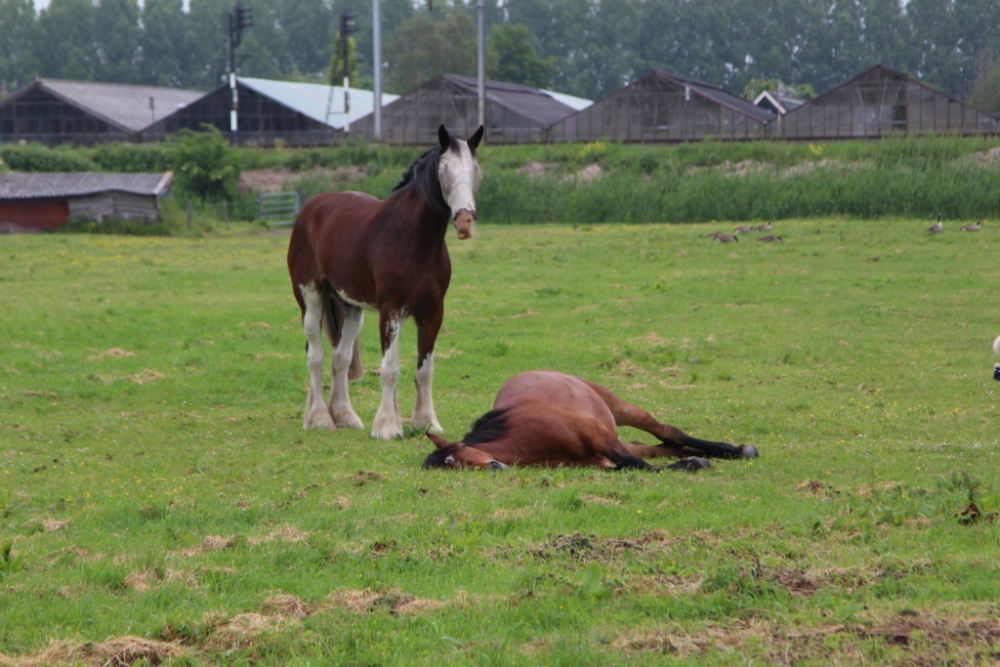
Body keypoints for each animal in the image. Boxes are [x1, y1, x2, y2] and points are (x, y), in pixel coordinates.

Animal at [422, 370, 756, 470]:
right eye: (452, 467)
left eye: (460, 453)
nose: (494, 467)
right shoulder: (599, 460)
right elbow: (631, 465)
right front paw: (692, 462)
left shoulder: (596, 434)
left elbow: (638, 466)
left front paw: (695, 465)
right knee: (662, 446)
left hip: (620, 410)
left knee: (669, 433)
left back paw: (738, 450)